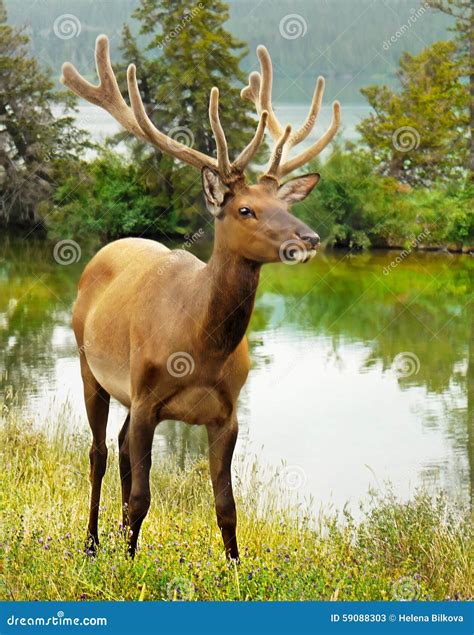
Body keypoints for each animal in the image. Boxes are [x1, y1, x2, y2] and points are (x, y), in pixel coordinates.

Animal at [62, 36, 340, 560]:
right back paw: (90, 544)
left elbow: (226, 507)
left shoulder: (227, 414)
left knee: (121, 448)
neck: (200, 346)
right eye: (245, 209)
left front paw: (234, 568)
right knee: (99, 452)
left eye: (286, 203)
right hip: (92, 366)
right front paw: (128, 565)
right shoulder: (147, 397)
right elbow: (142, 497)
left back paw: (113, 538)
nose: (310, 238)